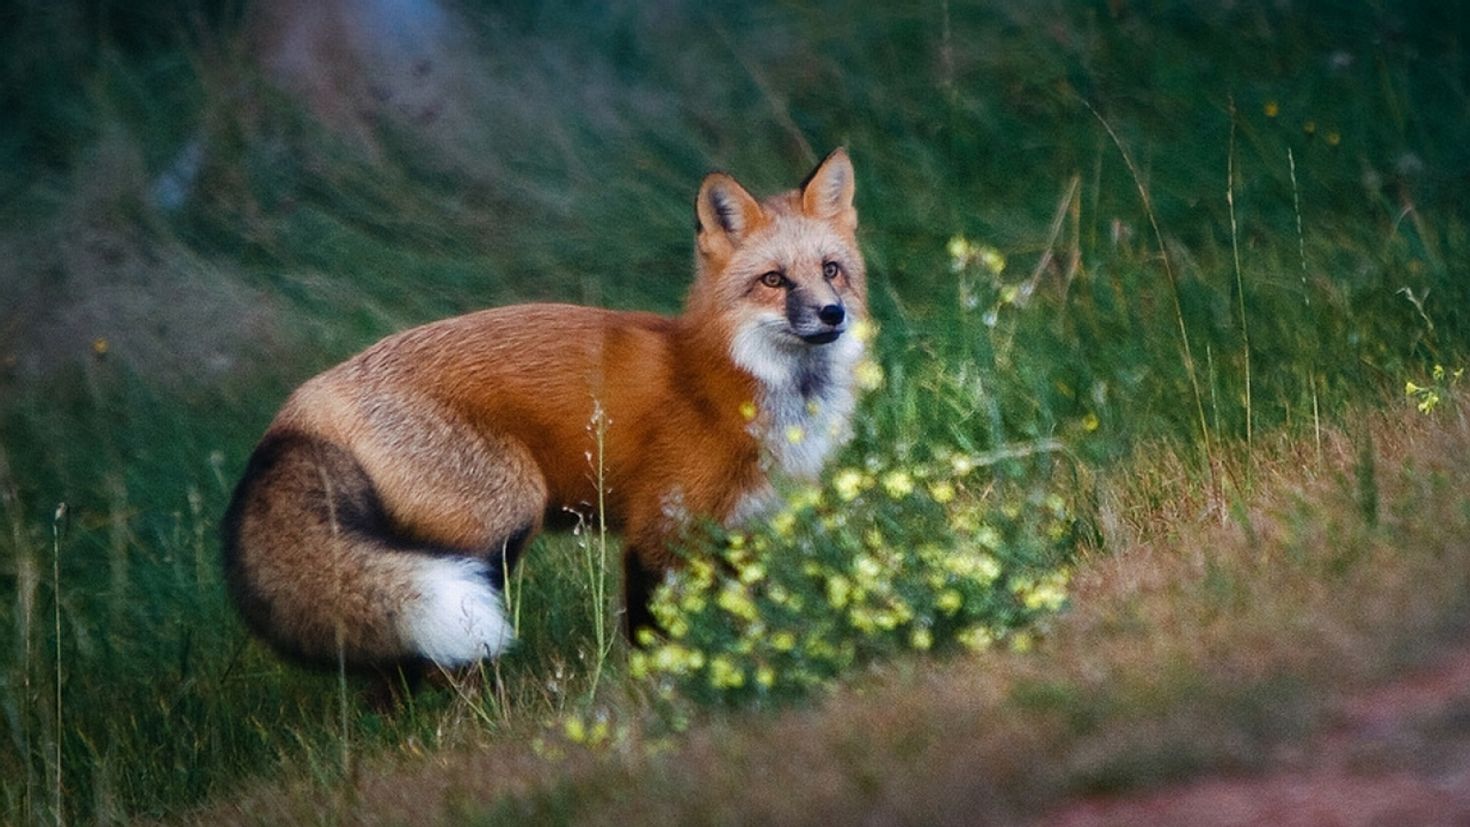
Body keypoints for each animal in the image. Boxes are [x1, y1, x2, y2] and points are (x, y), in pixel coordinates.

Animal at [216, 150, 858, 678]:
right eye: (773, 280)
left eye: (831, 270)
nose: (833, 314)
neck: (729, 382)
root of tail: (306, 398)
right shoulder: (657, 528)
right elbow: (649, 631)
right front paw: (656, 690)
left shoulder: (741, 529)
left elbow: (747, 616)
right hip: (497, 524)